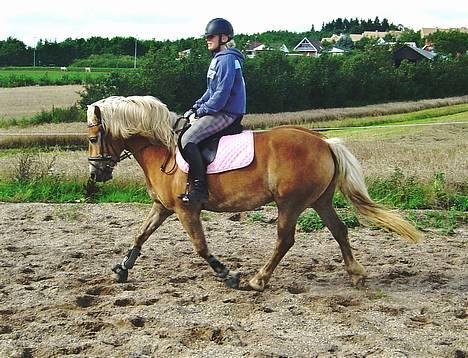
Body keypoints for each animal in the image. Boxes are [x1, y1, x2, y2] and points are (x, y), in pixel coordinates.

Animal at [86, 96, 422, 292]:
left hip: (290, 203)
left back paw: (258, 280)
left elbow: (200, 246)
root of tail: (324, 142)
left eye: (92, 138)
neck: (163, 150)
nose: (95, 174)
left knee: (285, 240)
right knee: (339, 230)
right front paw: (121, 270)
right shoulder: (162, 206)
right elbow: (140, 235)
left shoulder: (185, 210)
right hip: (319, 201)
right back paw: (356, 274)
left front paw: (228, 275)